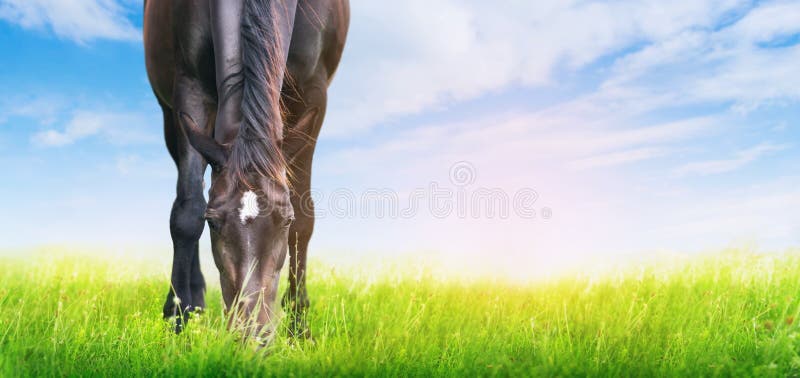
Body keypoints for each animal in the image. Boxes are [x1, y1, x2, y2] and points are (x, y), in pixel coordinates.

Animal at [143, 0, 346, 336]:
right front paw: (176, 318)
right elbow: (187, 212)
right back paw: (195, 300)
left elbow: (305, 219)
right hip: (170, 118)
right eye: (213, 222)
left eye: (285, 220)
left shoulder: (313, 92)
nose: (253, 332)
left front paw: (299, 327)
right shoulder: (190, 88)